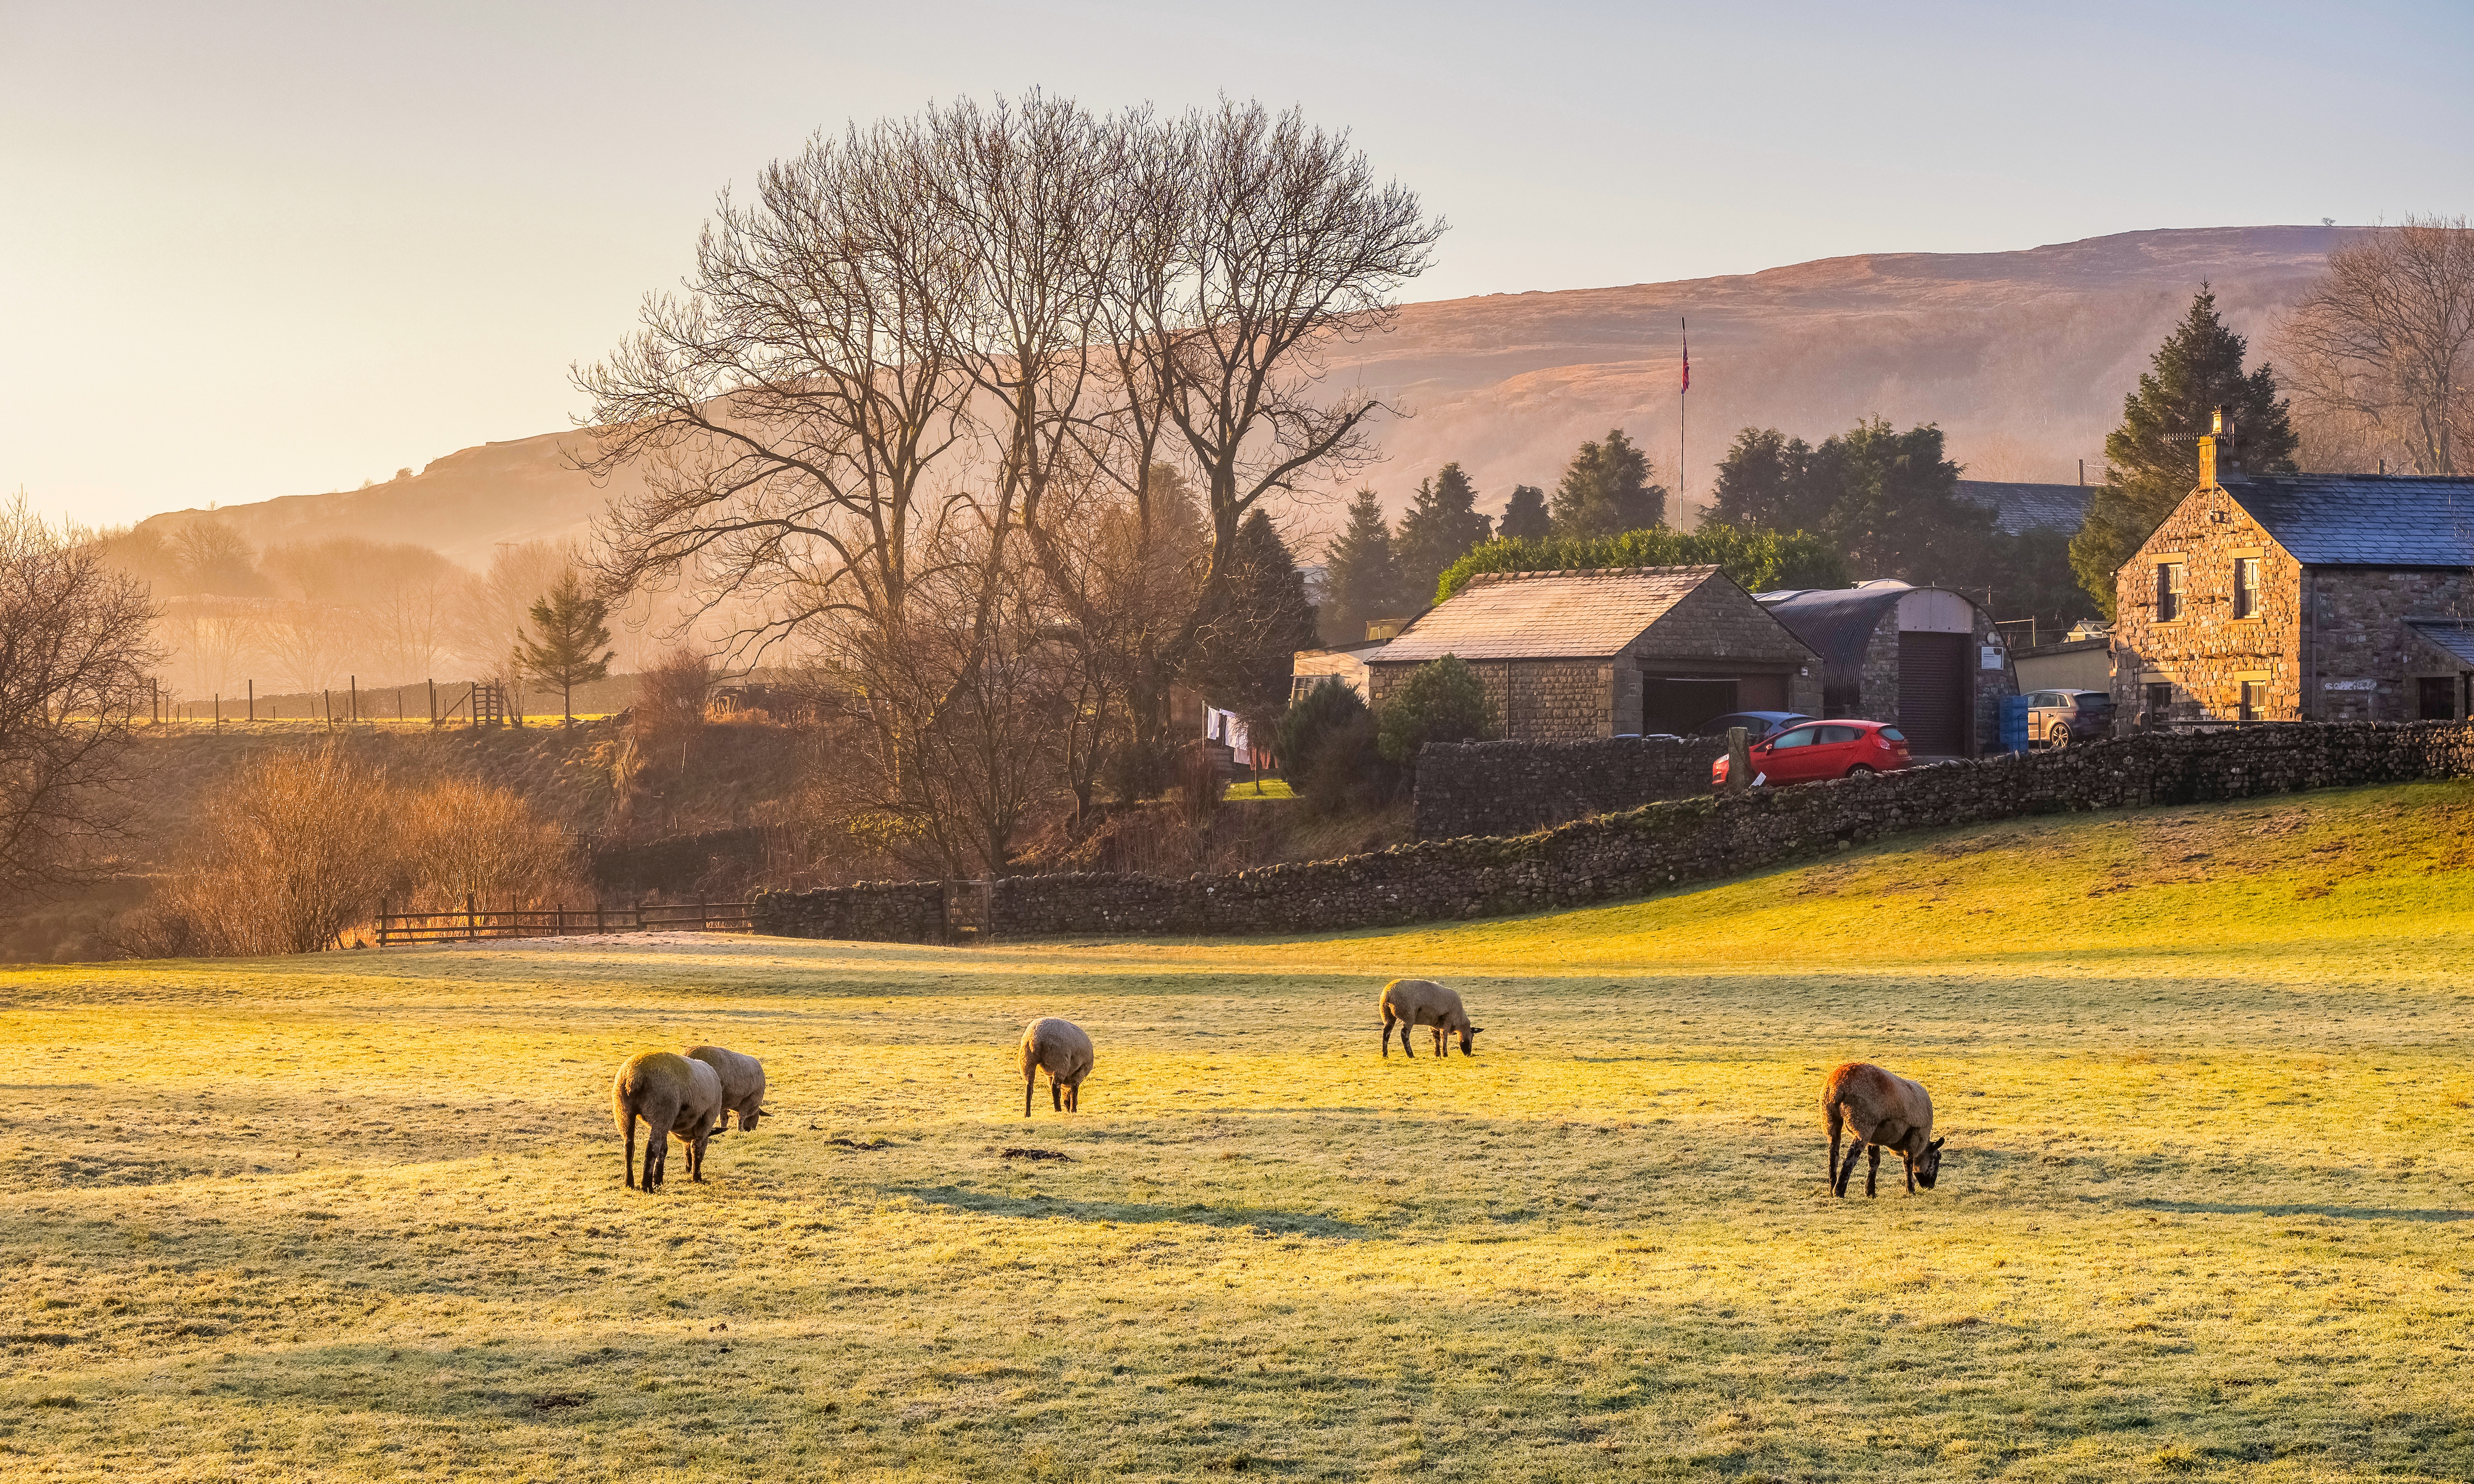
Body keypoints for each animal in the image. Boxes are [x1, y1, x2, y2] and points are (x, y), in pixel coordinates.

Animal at [611, 1049, 722, 1187]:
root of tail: (634, 1075)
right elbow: (696, 1148)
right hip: (662, 1110)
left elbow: (664, 1150)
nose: (688, 1168)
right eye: (707, 1145)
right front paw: (697, 1177)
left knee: (629, 1146)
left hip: (623, 1110)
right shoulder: (706, 1119)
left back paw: (629, 1182)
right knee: (651, 1148)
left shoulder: (665, 1124)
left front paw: (658, 1180)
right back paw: (646, 1186)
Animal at [682, 1044, 767, 1137]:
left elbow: (724, 1118)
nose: (749, 1130)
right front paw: (740, 1131)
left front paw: (723, 1131)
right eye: (756, 1116)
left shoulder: (723, 1103)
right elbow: (741, 1118)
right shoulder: (749, 1100)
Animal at [1014, 1014, 1093, 1118]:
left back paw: (1027, 1114)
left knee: (1029, 1088)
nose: (1068, 1110)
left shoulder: (1049, 1076)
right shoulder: (1081, 1071)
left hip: (1027, 1060)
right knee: (1055, 1087)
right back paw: (1058, 1110)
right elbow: (1074, 1090)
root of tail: (1036, 1038)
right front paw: (1074, 1110)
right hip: (1060, 1063)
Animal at [1821, 1058, 1949, 1202]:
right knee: (1850, 1158)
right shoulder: (1914, 1133)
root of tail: (1838, 1085)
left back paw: (1832, 1188)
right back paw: (1839, 1192)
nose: (1931, 1186)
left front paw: (1870, 1192)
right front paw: (1911, 1190)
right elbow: (1908, 1163)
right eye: (1937, 1157)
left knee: (1833, 1154)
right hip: (1863, 1121)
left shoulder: (1875, 1137)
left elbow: (1874, 1162)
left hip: (1831, 1118)